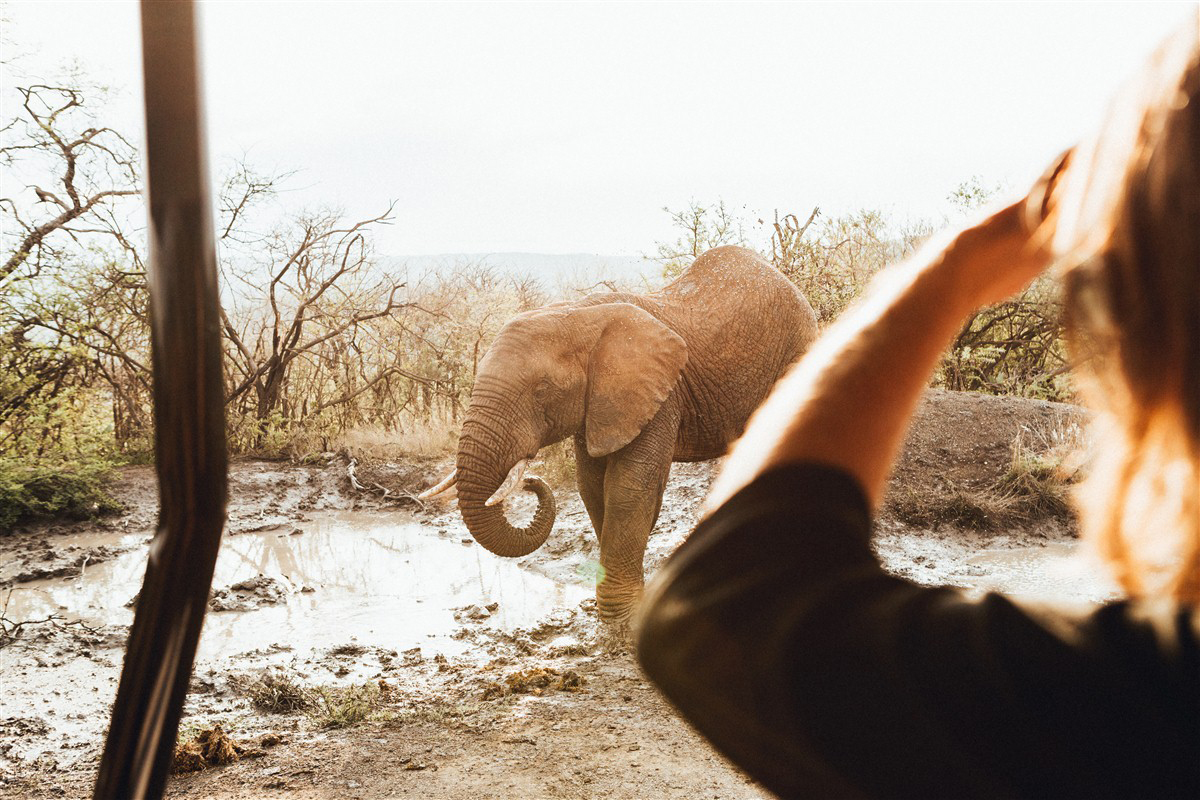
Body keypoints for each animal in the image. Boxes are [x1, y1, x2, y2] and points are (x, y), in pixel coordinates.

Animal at [417, 244, 820, 623]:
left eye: (542, 390)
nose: (530, 479)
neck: (578, 313)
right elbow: (592, 485)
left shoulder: (658, 395)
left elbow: (628, 488)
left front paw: (620, 617)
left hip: (798, 350)